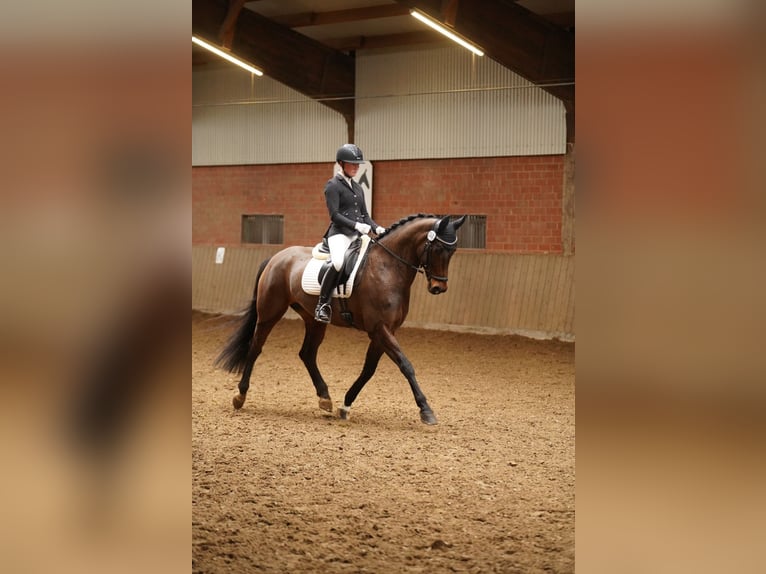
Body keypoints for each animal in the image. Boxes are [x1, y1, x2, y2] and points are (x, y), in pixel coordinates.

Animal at [215, 213, 466, 425]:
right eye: (437, 248)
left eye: (453, 251)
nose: (438, 287)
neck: (387, 268)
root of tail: (276, 257)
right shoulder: (380, 328)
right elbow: (406, 365)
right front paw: (426, 410)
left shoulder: (384, 331)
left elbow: (368, 369)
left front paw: (345, 405)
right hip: (269, 313)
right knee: (255, 348)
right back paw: (240, 395)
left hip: (314, 320)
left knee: (307, 354)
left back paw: (325, 398)